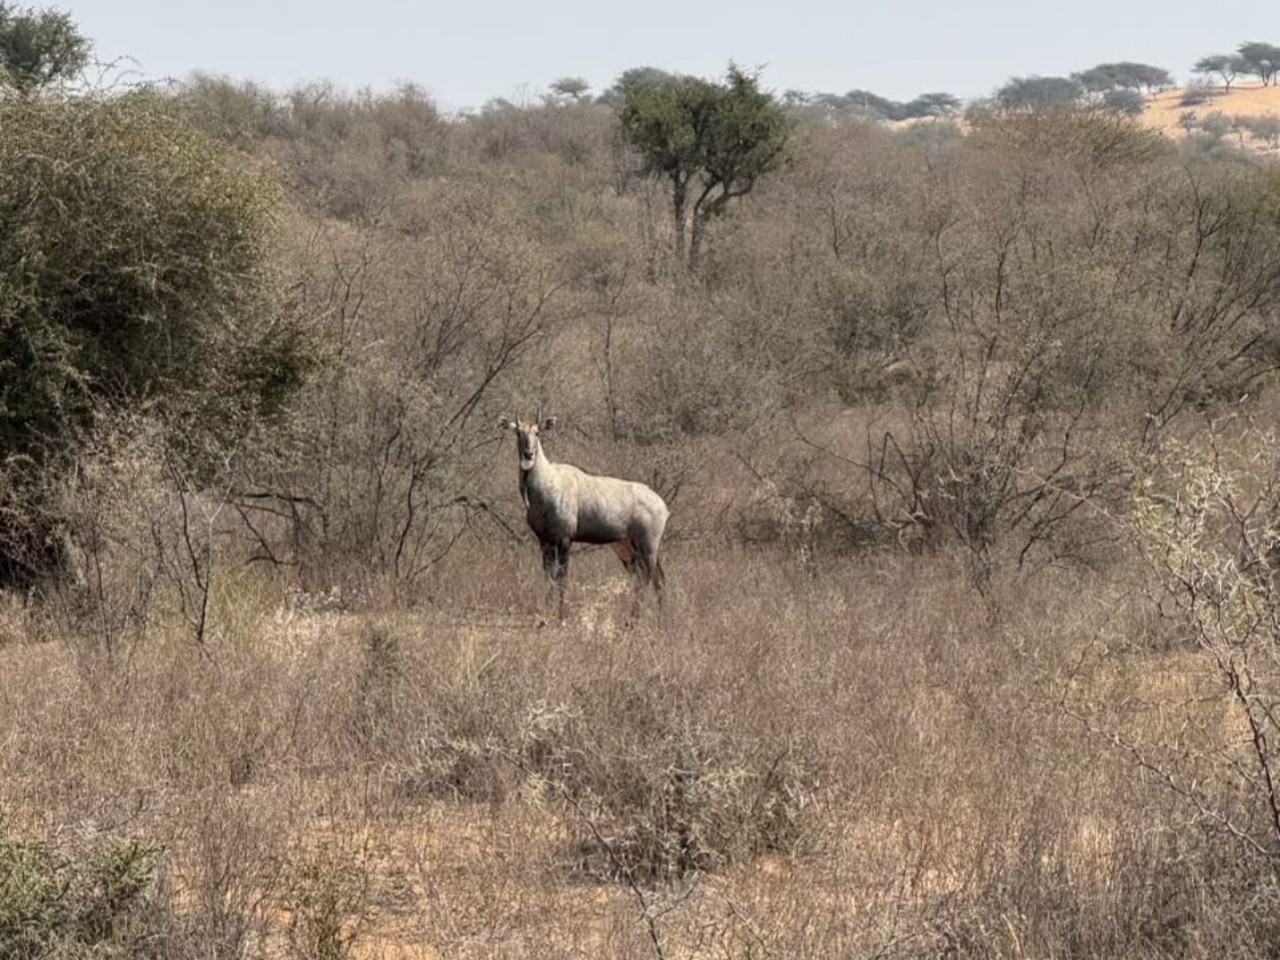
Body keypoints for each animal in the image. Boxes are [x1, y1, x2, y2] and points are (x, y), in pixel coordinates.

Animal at [502, 416, 669, 620]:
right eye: (518, 433)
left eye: (537, 432)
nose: (528, 454)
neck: (547, 484)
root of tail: (663, 506)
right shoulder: (545, 541)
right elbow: (548, 576)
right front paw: (547, 611)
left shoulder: (565, 539)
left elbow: (562, 577)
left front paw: (561, 616)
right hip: (625, 547)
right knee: (647, 579)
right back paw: (648, 621)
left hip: (647, 545)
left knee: (651, 578)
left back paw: (641, 619)